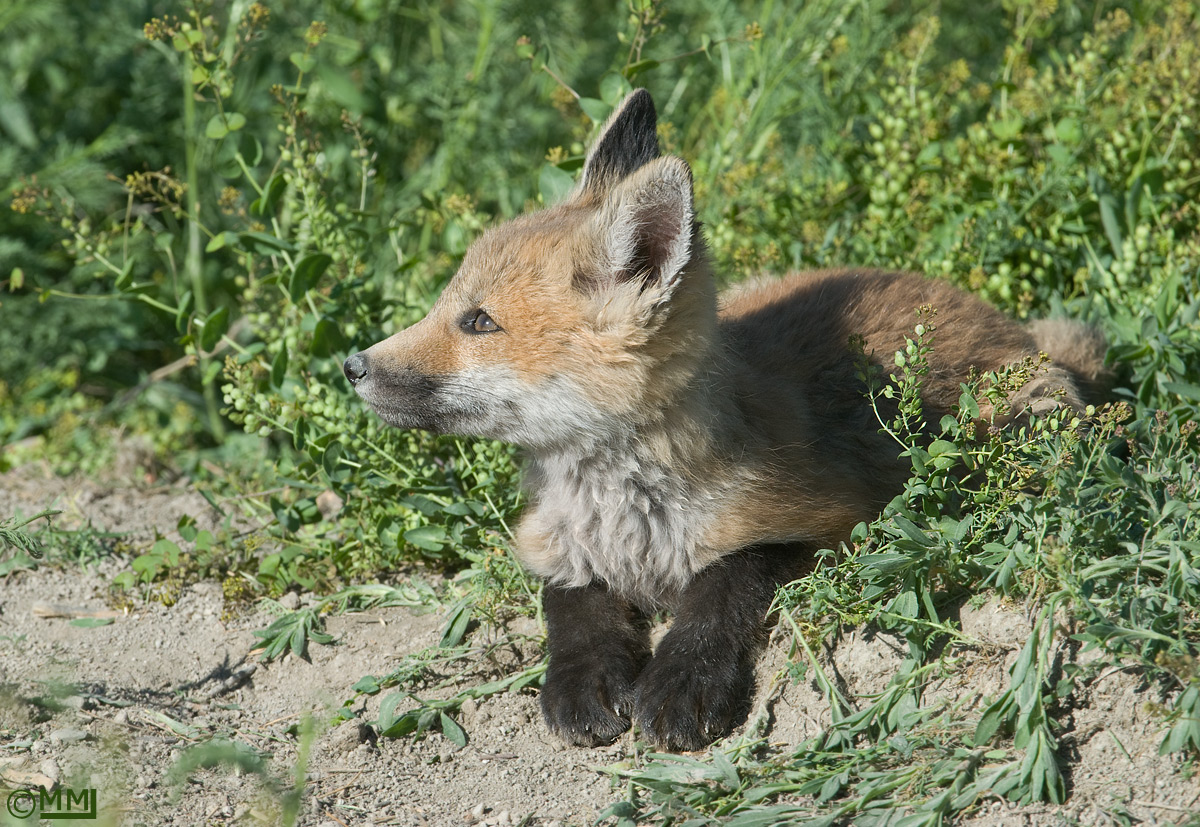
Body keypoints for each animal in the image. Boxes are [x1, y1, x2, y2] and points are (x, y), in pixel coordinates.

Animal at [343, 89, 1108, 751]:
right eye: (449, 303)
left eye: (478, 322)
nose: (352, 365)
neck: (630, 522)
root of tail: (989, 312)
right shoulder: (555, 542)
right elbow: (573, 606)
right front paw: (583, 681)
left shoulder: (828, 519)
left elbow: (724, 585)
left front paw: (682, 680)